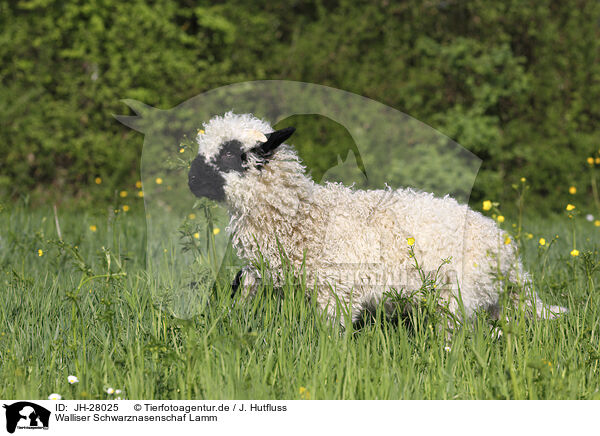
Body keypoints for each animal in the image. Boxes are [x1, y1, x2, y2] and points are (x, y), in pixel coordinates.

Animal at [189, 111, 568, 324]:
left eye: (229, 154)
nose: (192, 181)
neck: (304, 218)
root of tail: (507, 251)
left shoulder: (336, 293)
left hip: (458, 296)